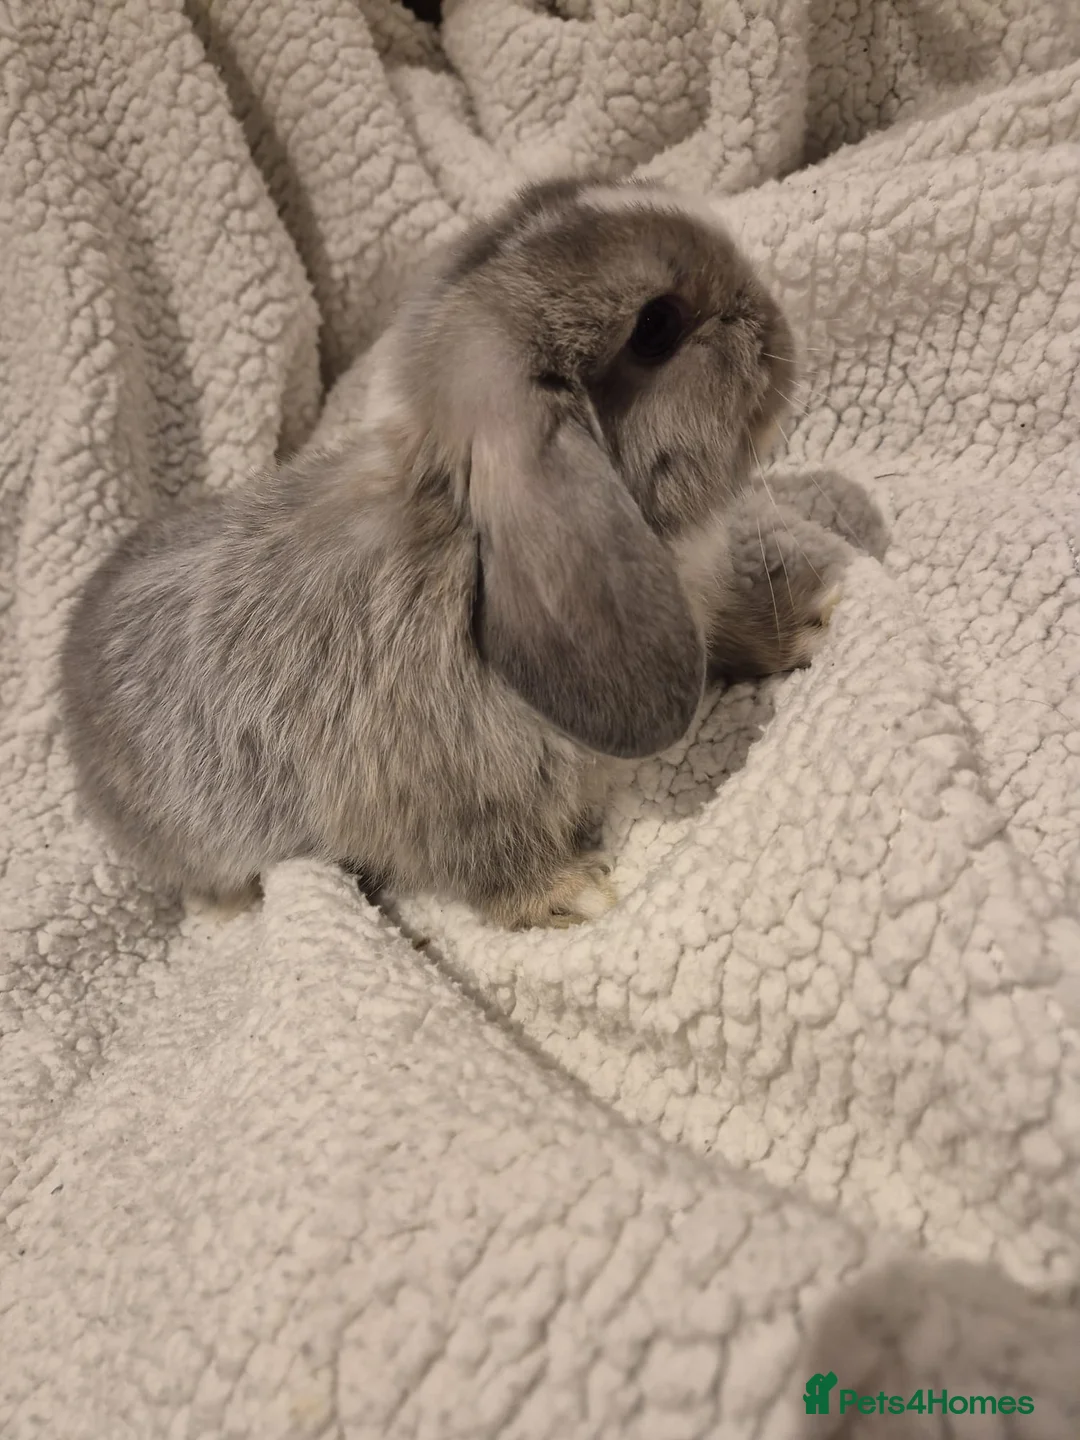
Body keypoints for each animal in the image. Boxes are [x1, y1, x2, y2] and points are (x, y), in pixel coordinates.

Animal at [59, 175, 843, 930]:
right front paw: (572, 896)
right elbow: (483, 860)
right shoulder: (431, 793)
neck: (462, 546)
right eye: (656, 327)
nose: (778, 324)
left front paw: (809, 620)